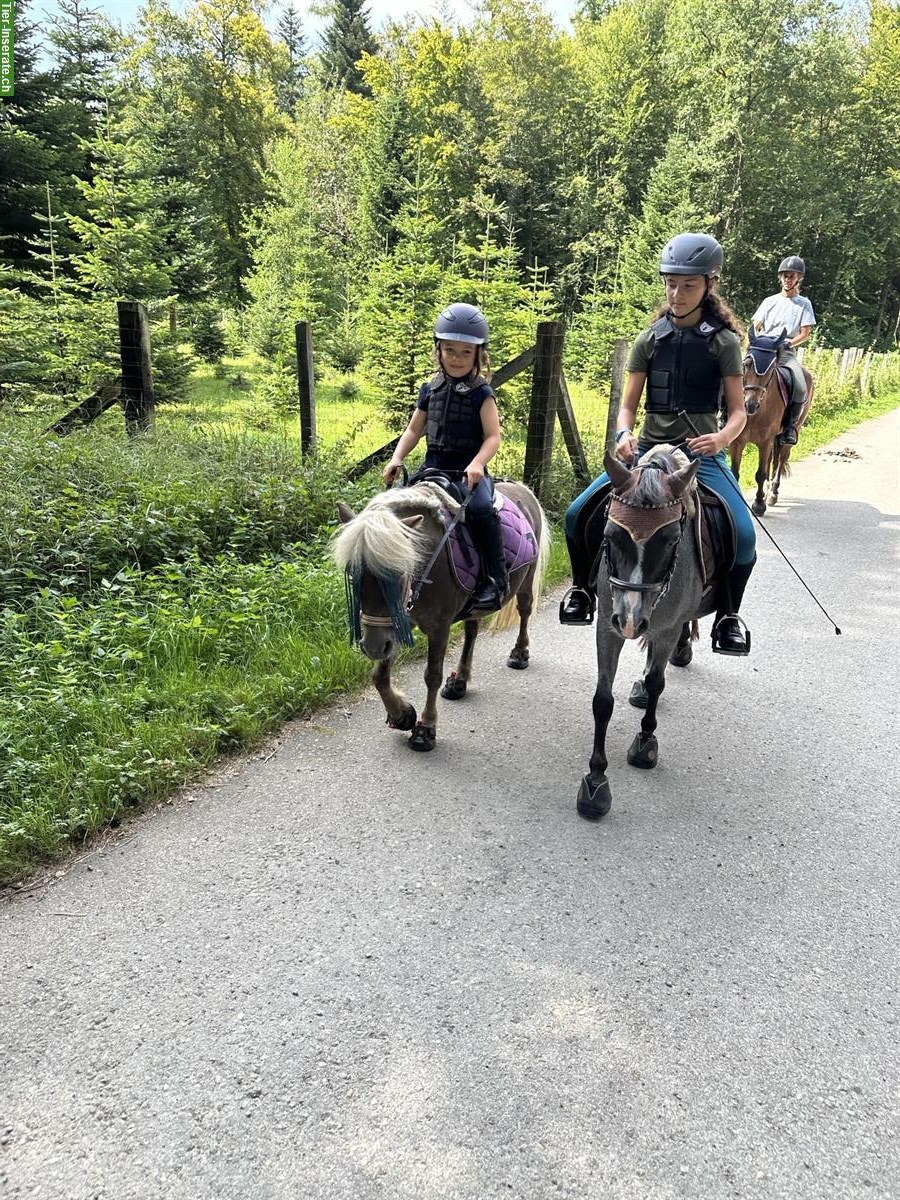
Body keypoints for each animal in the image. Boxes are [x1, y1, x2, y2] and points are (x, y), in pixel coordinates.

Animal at [331, 477, 549, 748]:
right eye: (353, 573)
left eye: (400, 572)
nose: (372, 647)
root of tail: (522, 488)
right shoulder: (394, 625)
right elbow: (379, 676)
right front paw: (402, 715)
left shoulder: (439, 627)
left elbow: (432, 675)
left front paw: (425, 727)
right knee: (472, 630)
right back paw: (459, 681)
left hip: (527, 580)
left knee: (525, 611)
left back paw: (519, 654)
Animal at [578, 448, 710, 825]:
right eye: (609, 535)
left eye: (670, 541)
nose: (631, 621)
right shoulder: (607, 628)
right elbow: (602, 701)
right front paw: (596, 780)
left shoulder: (665, 629)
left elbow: (657, 683)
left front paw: (645, 741)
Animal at [734, 328, 816, 516]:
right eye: (747, 364)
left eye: (771, 369)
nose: (750, 405)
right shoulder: (738, 441)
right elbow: (734, 473)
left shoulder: (766, 442)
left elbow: (760, 474)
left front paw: (758, 505)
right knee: (774, 460)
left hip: (788, 435)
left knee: (781, 460)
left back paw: (772, 493)